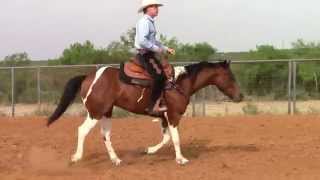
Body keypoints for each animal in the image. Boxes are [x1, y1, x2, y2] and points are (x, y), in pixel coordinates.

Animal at [47, 60, 242, 166]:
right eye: (231, 77)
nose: (240, 96)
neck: (178, 83)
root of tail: (88, 77)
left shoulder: (164, 117)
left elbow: (166, 138)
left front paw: (149, 150)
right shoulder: (173, 116)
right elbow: (175, 138)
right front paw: (181, 159)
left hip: (106, 112)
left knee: (105, 135)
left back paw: (116, 160)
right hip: (95, 112)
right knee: (82, 130)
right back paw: (77, 157)